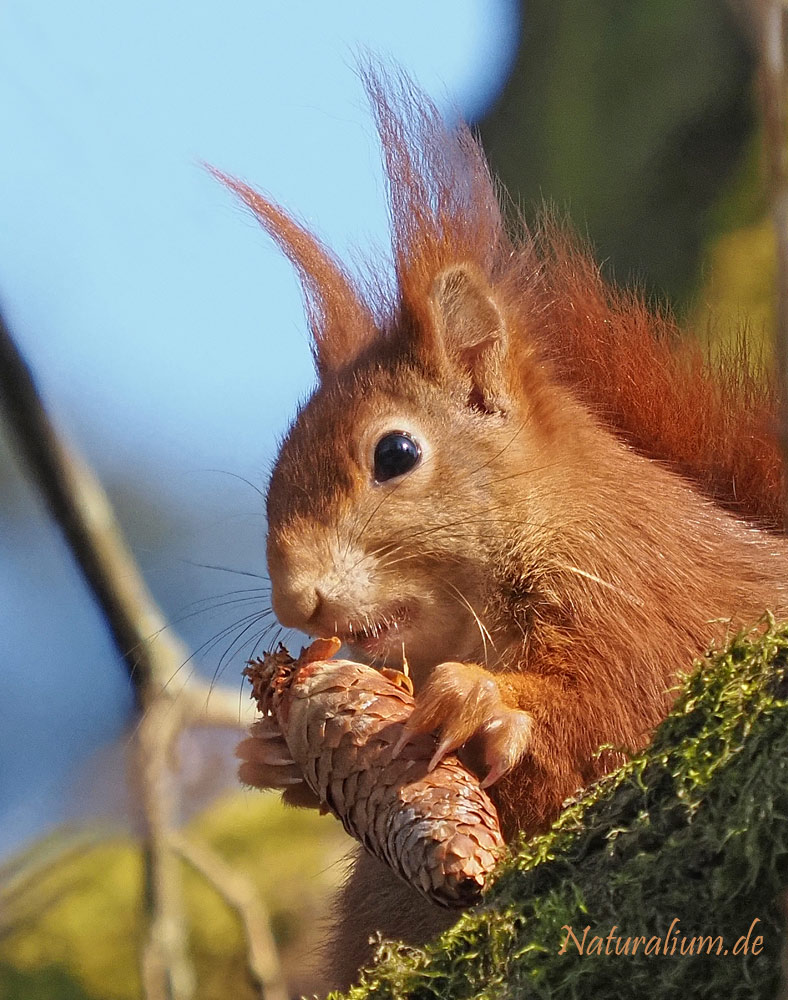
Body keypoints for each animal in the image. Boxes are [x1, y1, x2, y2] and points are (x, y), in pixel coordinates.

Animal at [228, 69, 788, 989]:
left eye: (396, 453)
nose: (296, 601)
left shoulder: (639, 596)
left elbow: (624, 710)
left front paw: (482, 702)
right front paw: (270, 755)